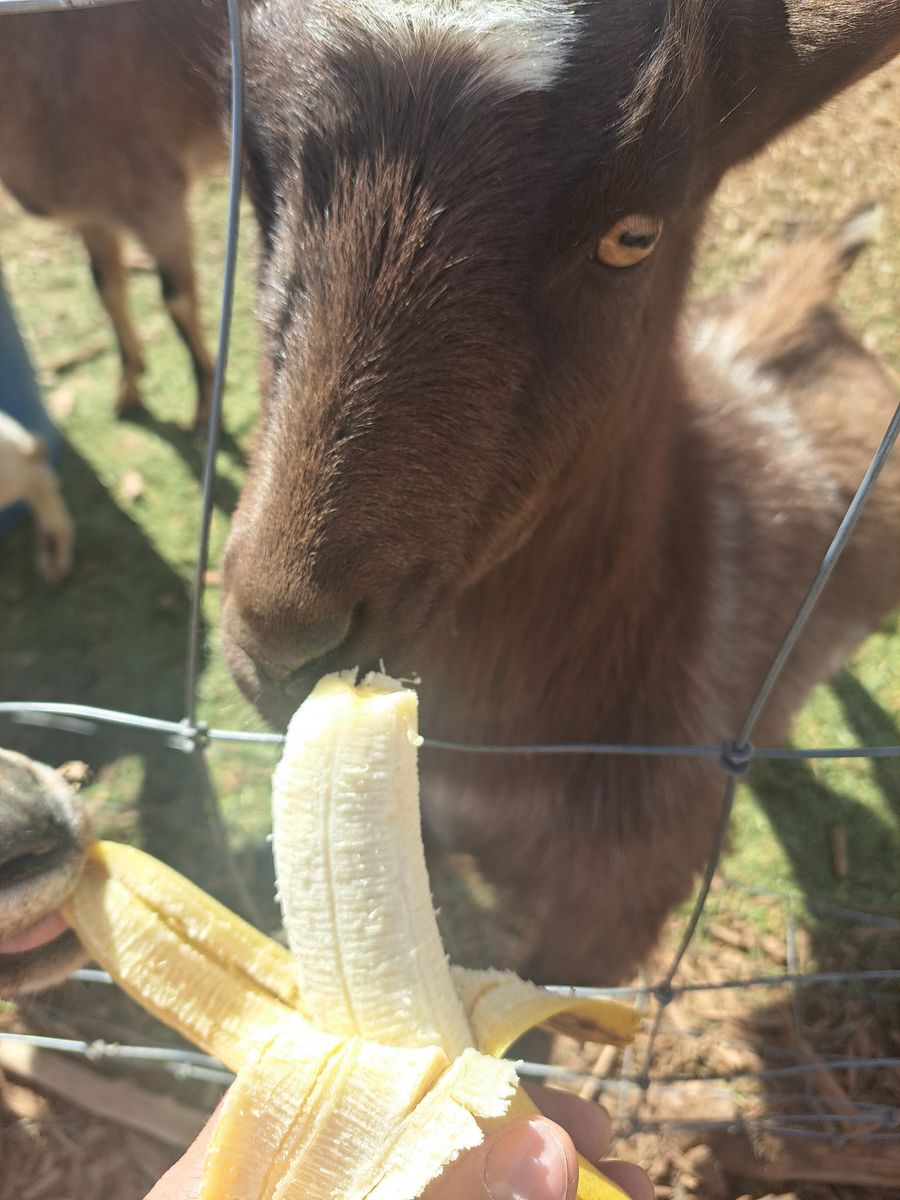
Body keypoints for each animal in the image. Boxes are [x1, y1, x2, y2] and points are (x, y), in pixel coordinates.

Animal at [0, 0, 228, 427]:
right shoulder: (93, 214)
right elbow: (106, 289)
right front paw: (129, 387)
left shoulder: (156, 197)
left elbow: (176, 299)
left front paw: (207, 406)